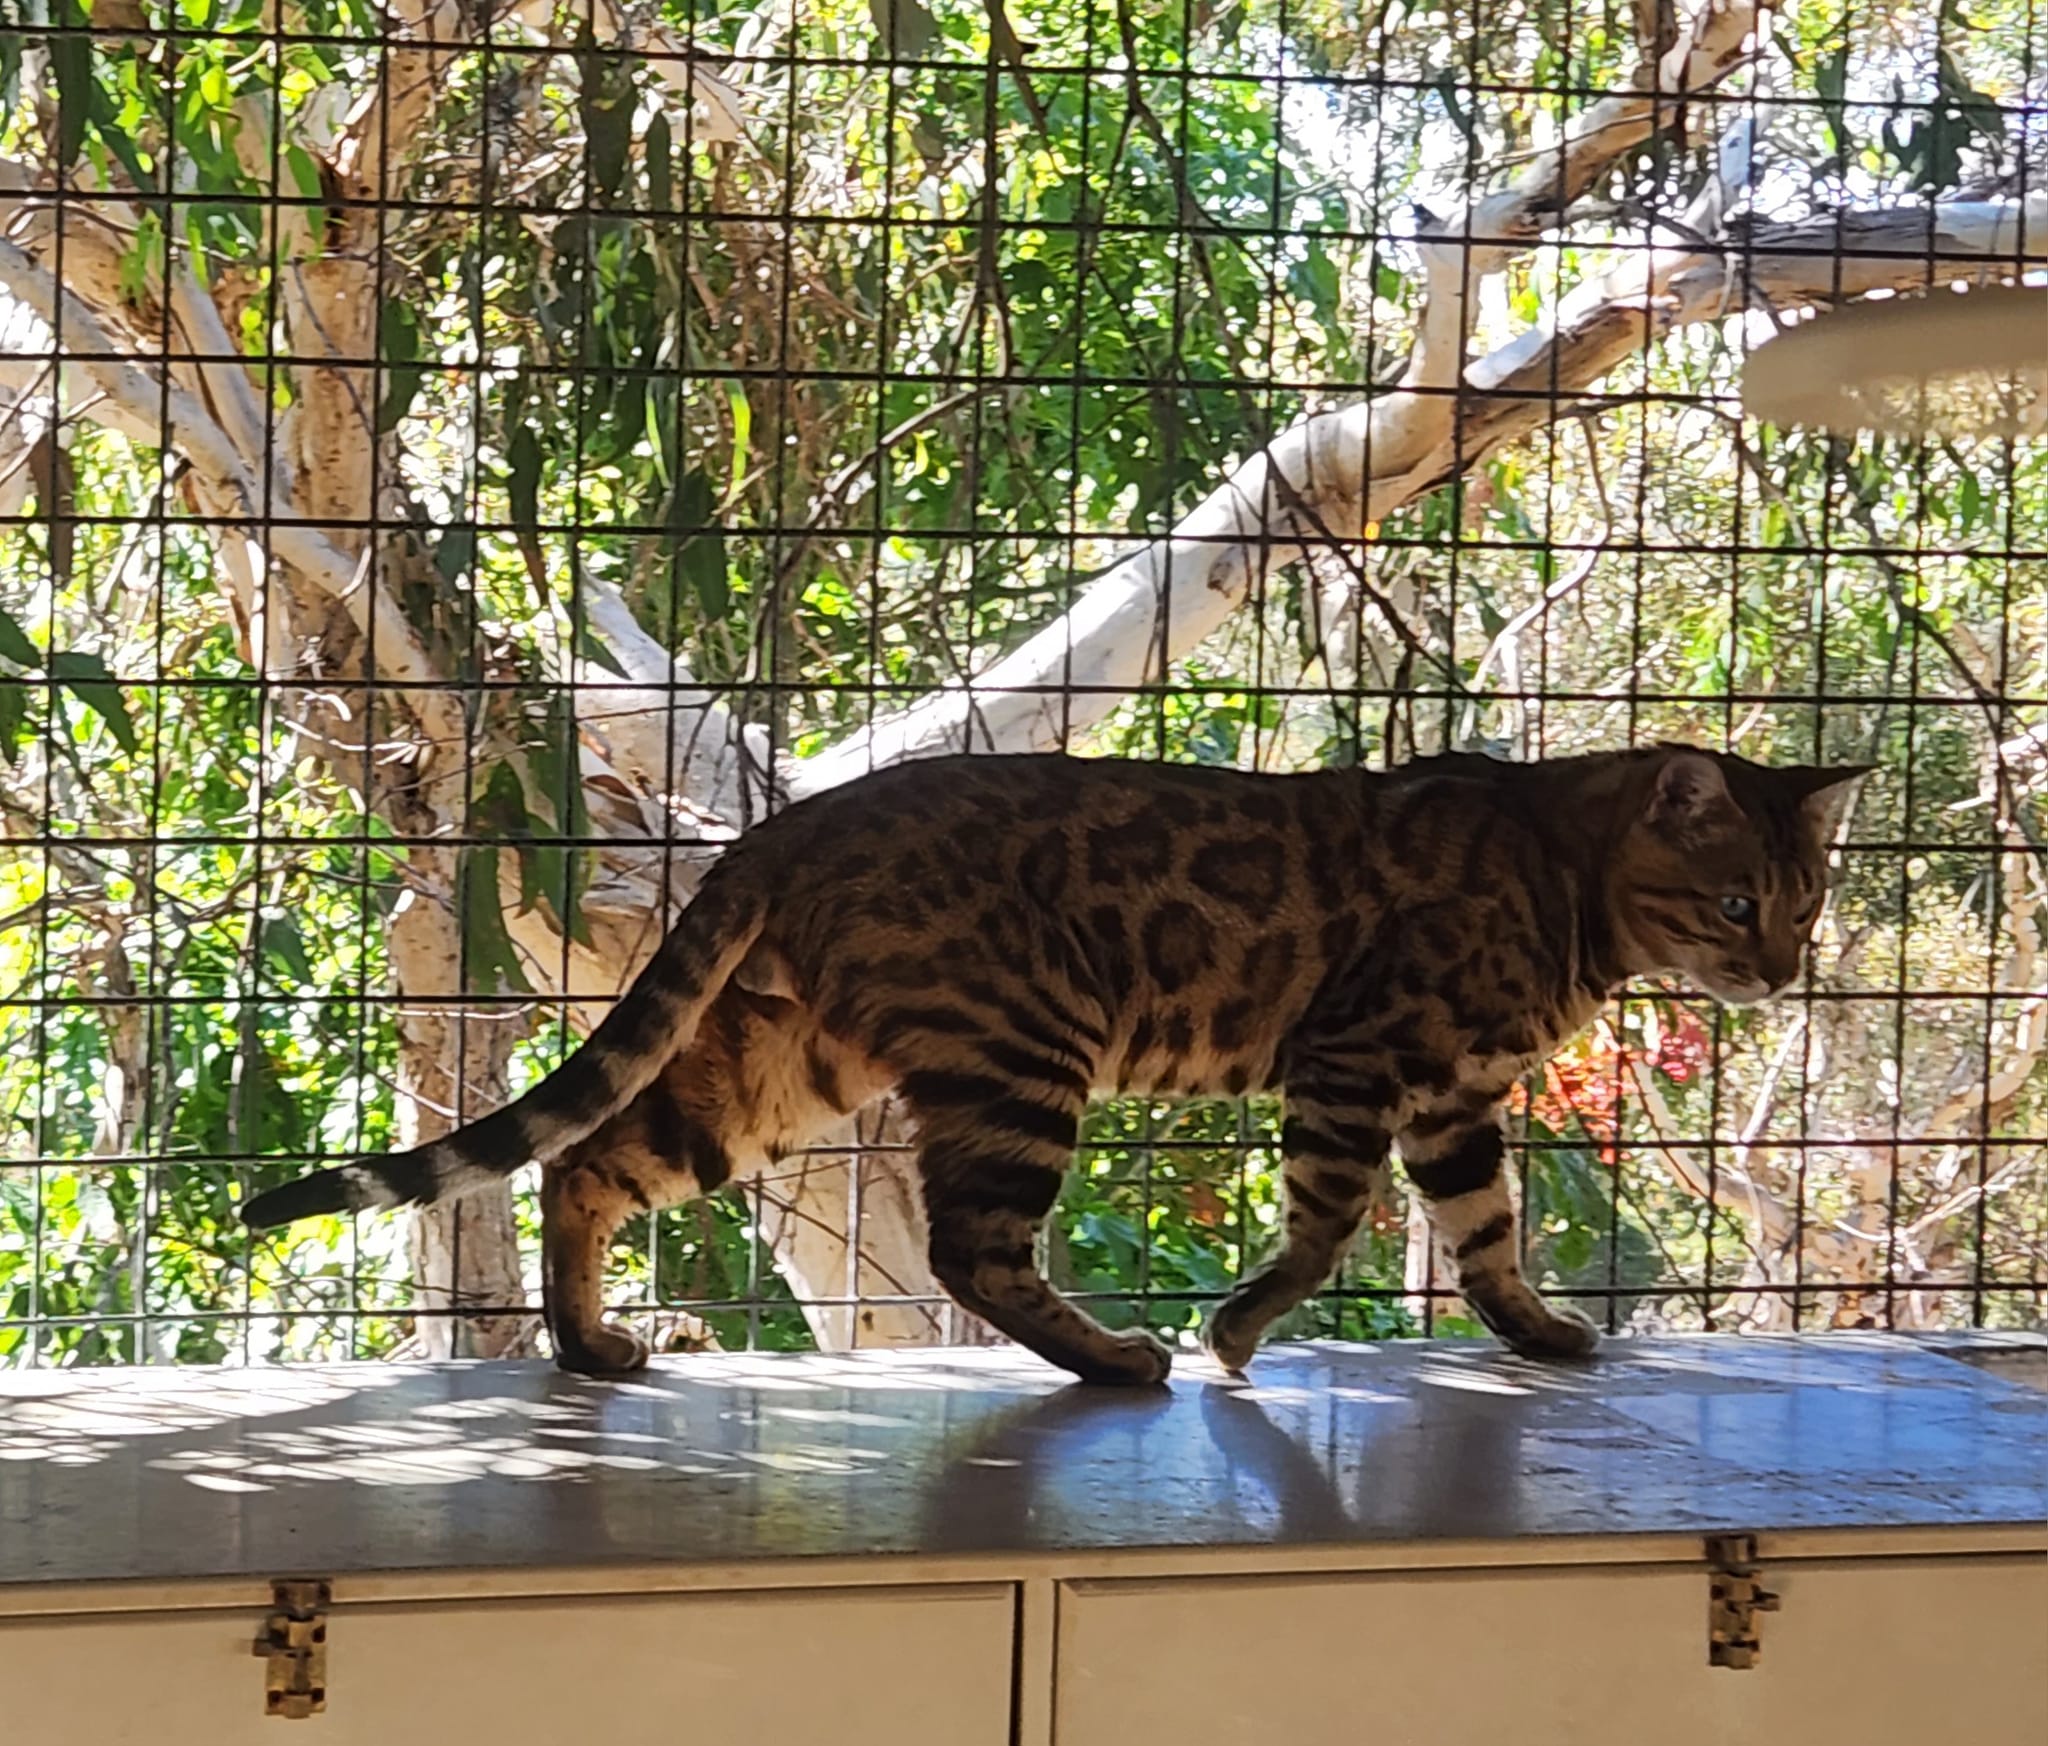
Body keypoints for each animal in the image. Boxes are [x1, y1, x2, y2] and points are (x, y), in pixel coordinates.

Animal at [242, 742, 1867, 1384]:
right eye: (1737, 903)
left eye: (1807, 899)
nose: (1783, 967)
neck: (1556, 872)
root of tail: (798, 816)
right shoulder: (1357, 1059)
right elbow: (1328, 1224)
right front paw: (1237, 1329)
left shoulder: (1459, 1100)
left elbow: (1486, 1235)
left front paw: (1534, 1333)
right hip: (1029, 1050)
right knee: (966, 1247)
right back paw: (1116, 1356)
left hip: (779, 1066)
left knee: (587, 1160)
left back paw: (588, 1346)